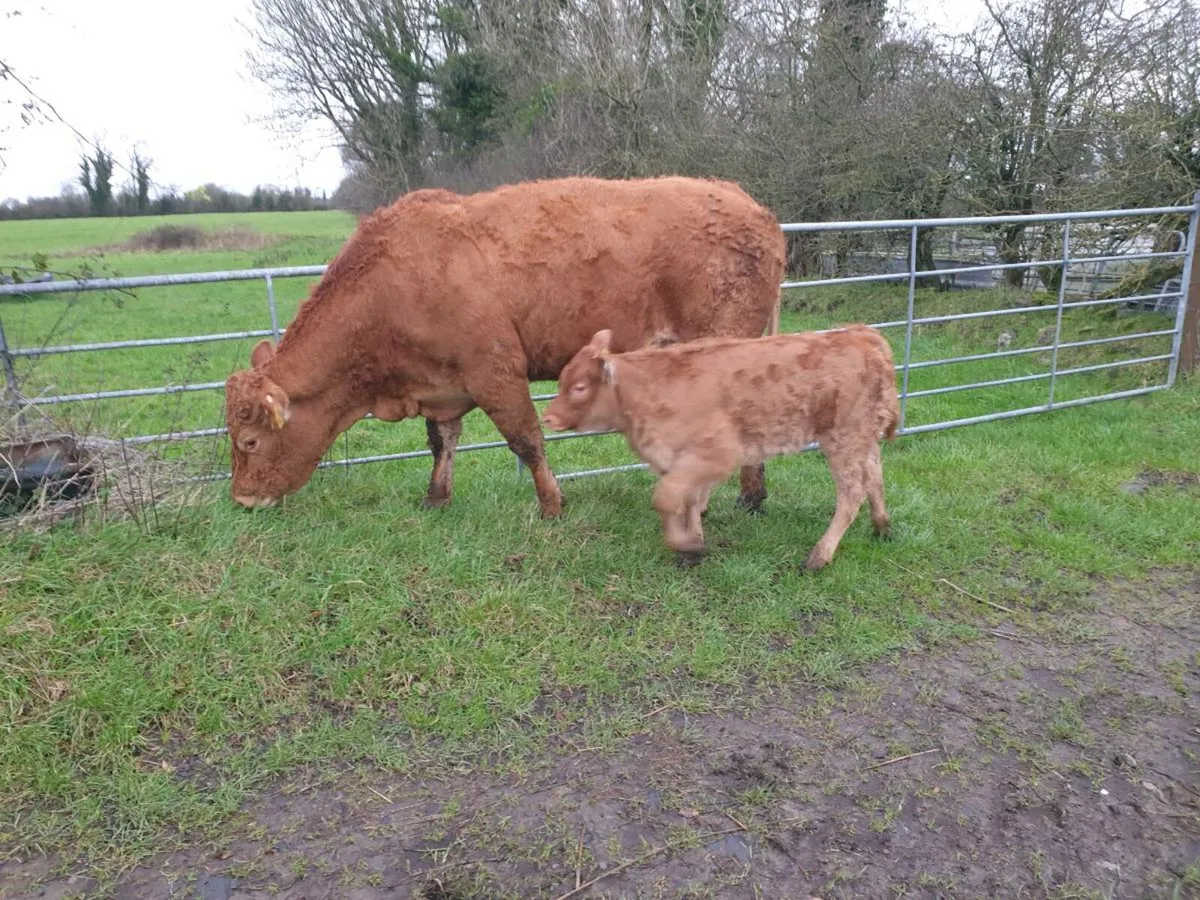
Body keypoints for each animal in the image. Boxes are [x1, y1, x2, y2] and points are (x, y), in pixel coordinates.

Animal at [223, 176, 786, 517]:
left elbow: (526, 440)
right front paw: (436, 497)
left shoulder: (494, 370)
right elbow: (442, 442)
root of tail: (749, 203)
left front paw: (551, 504)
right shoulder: (443, 382)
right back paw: (750, 497)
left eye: (249, 441)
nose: (242, 499)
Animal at [541, 324, 900, 571]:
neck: (648, 389)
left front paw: (688, 546)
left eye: (579, 387)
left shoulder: (715, 454)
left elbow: (666, 498)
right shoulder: (683, 462)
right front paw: (693, 544)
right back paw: (882, 527)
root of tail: (861, 335)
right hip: (861, 438)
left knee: (852, 493)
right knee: (875, 476)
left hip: (842, 438)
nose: (547, 417)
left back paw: (819, 557)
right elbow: (689, 502)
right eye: (561, 380)